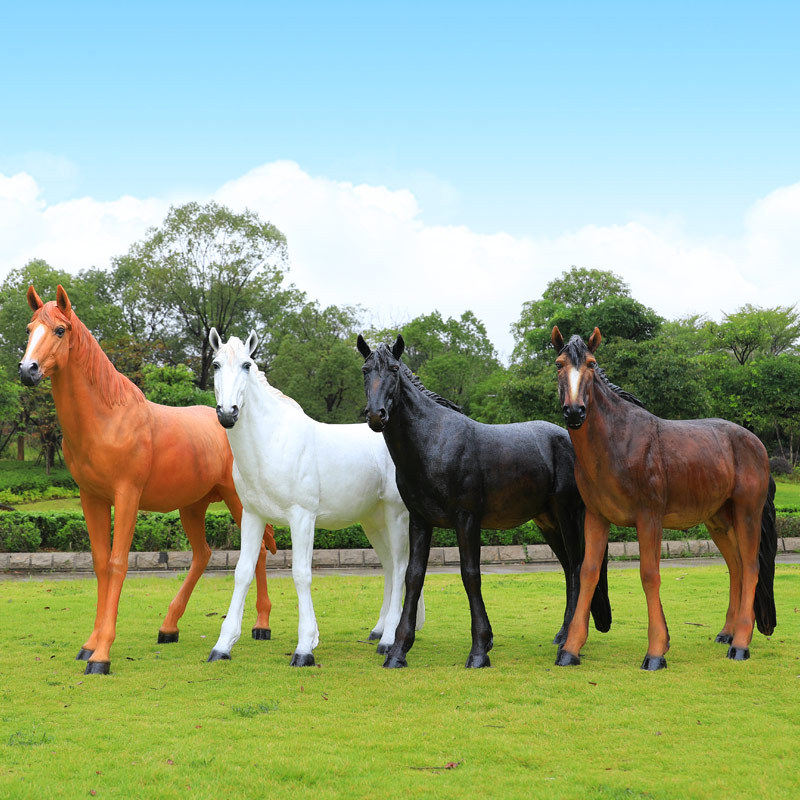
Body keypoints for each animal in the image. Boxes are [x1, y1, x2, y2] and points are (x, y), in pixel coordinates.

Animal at [18, 285, 277, 675]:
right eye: (30, 328)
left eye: (60, 330)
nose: (27, 370)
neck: (107, 418)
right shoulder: (91, 498)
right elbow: (99, 563)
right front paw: (89, 644)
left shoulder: (127, 496)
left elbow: (117, 563)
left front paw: (102, 655)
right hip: (192, 506)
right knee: (202, 554)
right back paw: (169, 627)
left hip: (237, 500)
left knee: (257, 552)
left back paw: (261, 625)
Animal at [205, 328, 422, 666]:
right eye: (215, 364)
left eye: (246, 365)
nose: (228, 414)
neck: (272, 441)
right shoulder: (252, 516)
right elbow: (242, 573)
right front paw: (222, 646)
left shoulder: (302, 517)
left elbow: (301, 574)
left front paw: (305, 647)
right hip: (373, 521)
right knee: (388, 567)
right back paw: (379, 630)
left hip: (395, 515)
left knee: (400, 567)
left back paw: (388, 641)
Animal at [357, 333, 612, 669]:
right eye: (365, 370)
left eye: (394, 369)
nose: (376, 415)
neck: (434, 441)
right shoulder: (420, 521)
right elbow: (413, 576)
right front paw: (398, 651)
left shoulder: (466, 519)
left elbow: (470, 574)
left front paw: (479, 649)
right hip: (548, 522)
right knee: (570, 568)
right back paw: (562, 636)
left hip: (568, 515)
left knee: (578, 566)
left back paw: (569, 642)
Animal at [551, 326, 777, 669]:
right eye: (559, 364)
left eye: (591, 364)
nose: (575, 411)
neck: (618, 441)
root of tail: (756, 443)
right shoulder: (597, 516)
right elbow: (588, 572)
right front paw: (570, 649)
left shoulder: (649, 517)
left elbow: (649, 575)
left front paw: (657, 650)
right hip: (718, 520)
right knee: (736, 567)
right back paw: (728, 632)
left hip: (747, 512)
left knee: (751, 568)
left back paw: (740, 644)